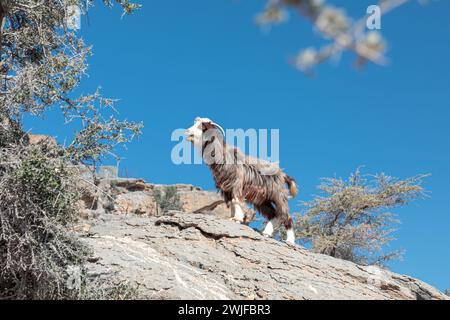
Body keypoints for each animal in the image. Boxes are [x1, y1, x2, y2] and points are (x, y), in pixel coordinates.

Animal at [185, 116, 298, 244]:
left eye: (202, 126)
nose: (187, 132)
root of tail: (283, 174)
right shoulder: (226, 188)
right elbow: (231, 203)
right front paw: (232, 217)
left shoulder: (237, 184)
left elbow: (236, 200)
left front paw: (237, 219)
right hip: (262, 200)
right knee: (274, 214)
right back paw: (266, 233)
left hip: (278, 196)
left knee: (285, 215)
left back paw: (290, 240)